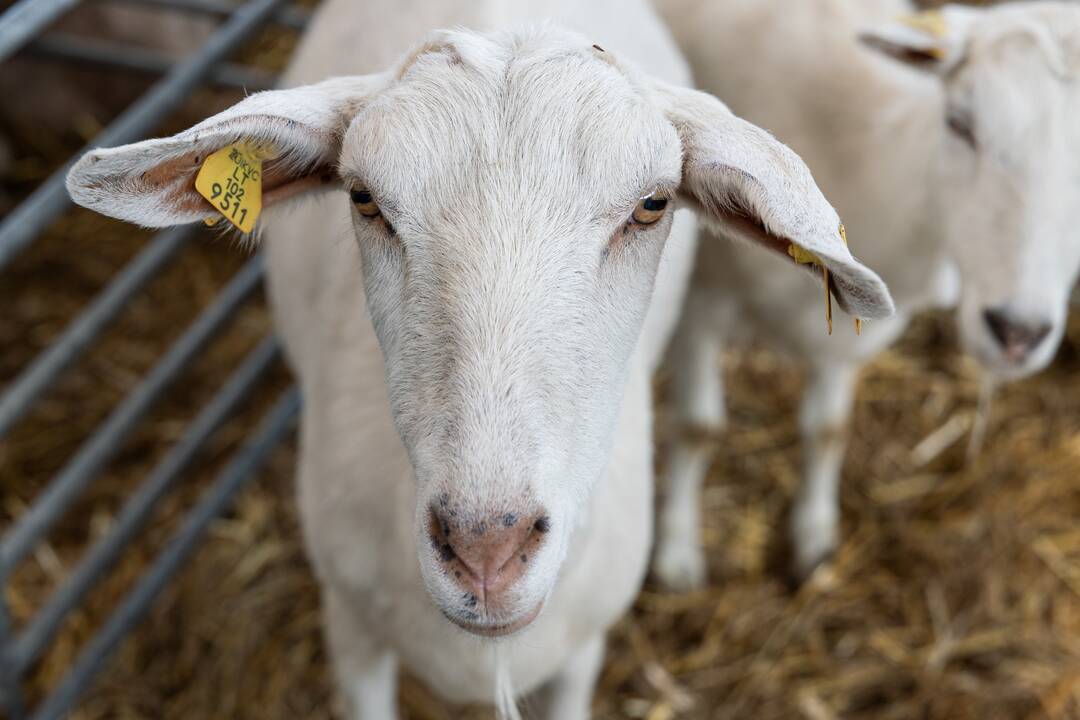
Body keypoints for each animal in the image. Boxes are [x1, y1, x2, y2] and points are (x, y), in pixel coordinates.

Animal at [652, 0, 1080, 587]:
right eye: (958, 123)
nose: (1017, 332)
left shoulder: (848, 332)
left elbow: (828, 431)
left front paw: (814, 544)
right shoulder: (702, 299)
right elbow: (697, 426)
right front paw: (676, 557)